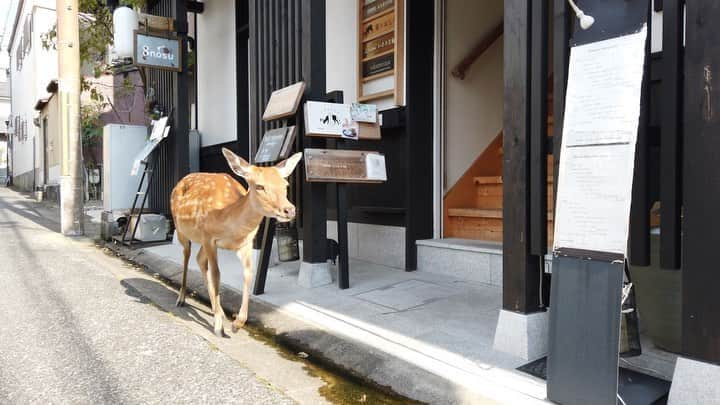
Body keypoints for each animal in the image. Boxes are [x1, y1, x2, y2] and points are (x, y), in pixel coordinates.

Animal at [170, 147, 302, 336]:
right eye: (259, 186)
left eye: (286, 185)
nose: (289, 210)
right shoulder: (209, 237)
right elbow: (217, 275)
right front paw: (219, 327)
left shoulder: (245, 243)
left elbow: (248, 274)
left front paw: (237, 323)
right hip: (181, 230)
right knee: (187, 256)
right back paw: (181, 299)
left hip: (201, 241)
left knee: (199, 259)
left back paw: (217, 310)